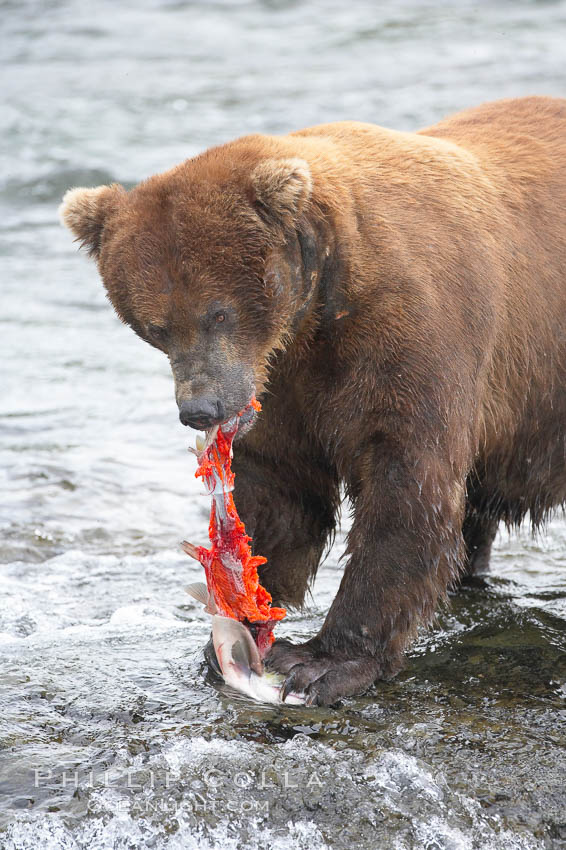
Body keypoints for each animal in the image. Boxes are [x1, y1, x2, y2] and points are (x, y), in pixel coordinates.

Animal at [60, 94, 566, 704]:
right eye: (154, 325)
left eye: (217, 313)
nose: (200, 409)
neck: (320, 308)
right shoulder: (283, 383)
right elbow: (282, 491)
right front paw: (242, 618)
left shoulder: (414, 338)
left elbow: (406, 488)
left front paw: (324, 661)